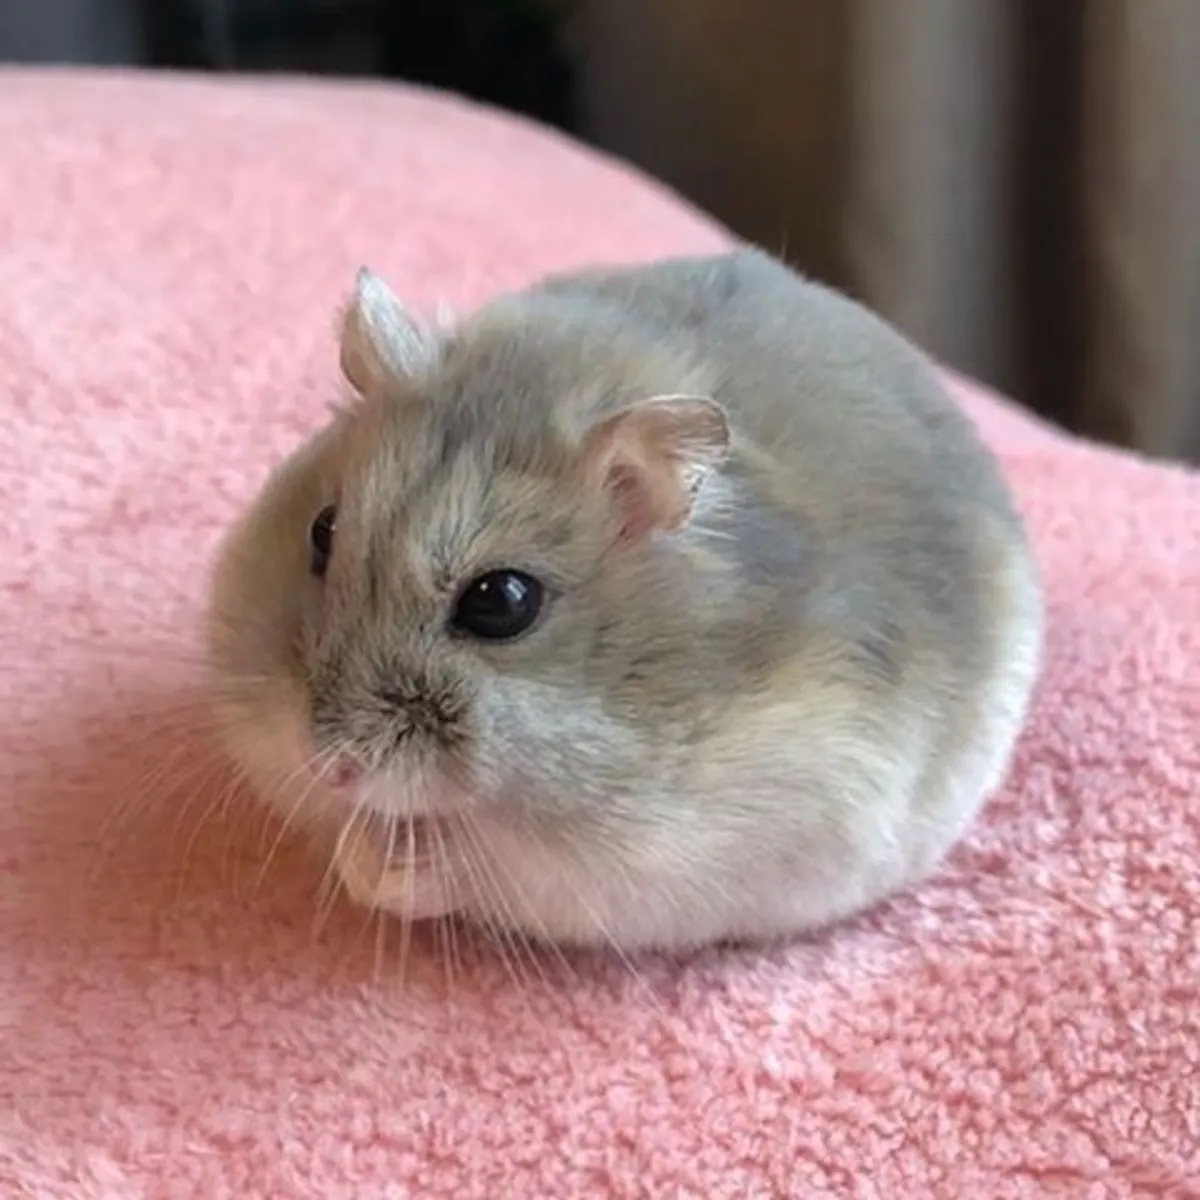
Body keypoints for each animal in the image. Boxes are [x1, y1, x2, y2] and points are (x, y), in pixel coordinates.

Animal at [204, 247, 1042, 953]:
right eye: (322, 530)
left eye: (501, 601)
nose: (328, 765)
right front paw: (356, 844)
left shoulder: (641, 865)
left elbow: (467, 870)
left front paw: (381, 859)